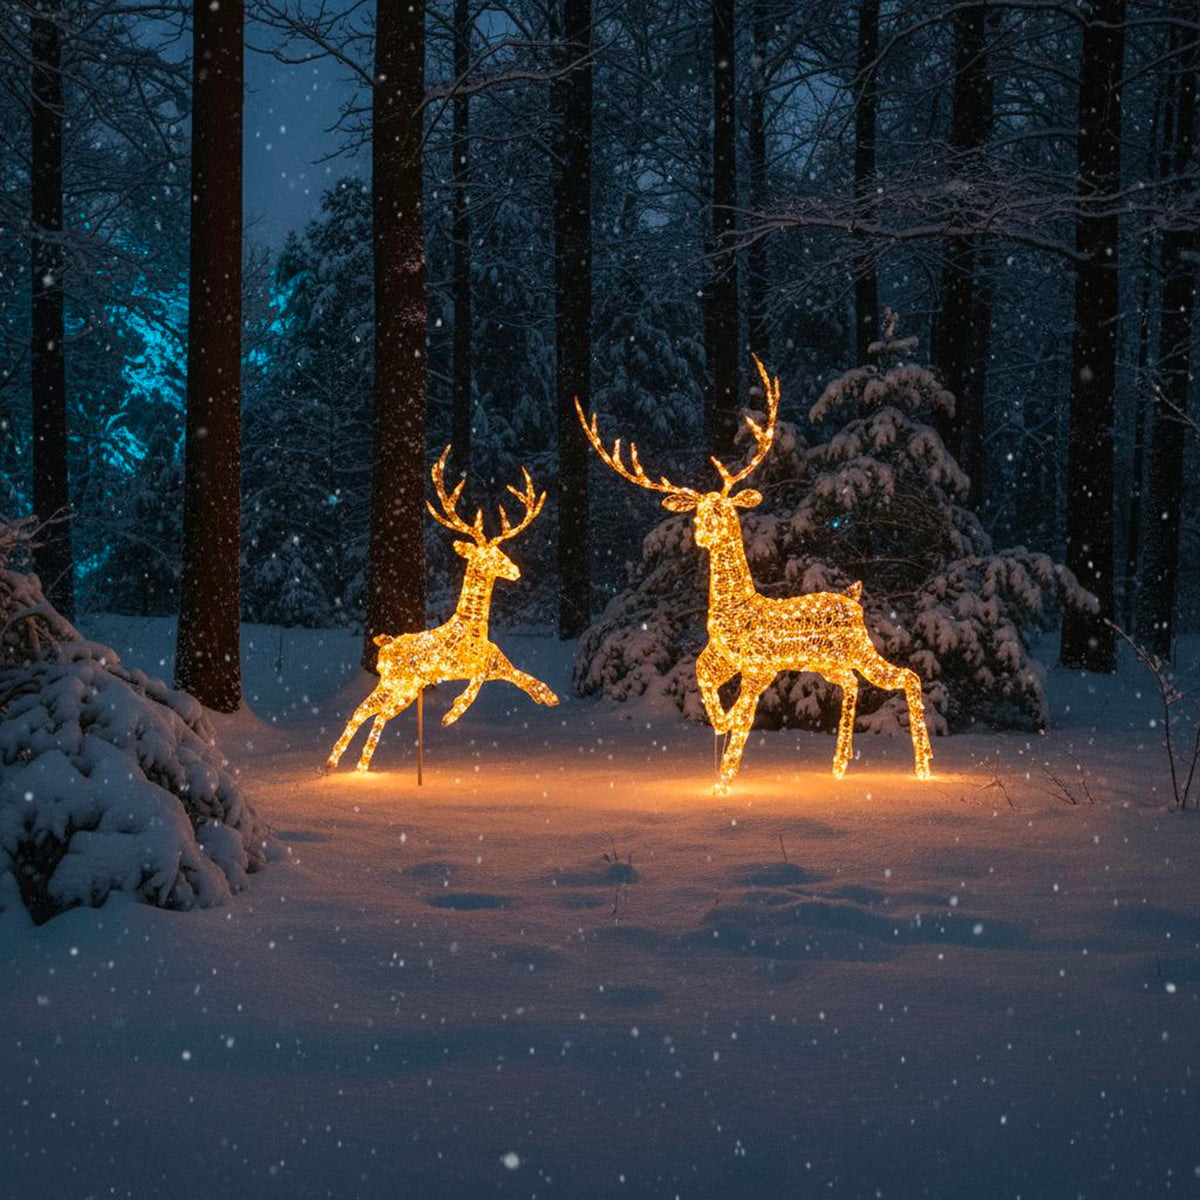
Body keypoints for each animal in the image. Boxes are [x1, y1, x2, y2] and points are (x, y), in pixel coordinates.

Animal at [326, 447, 559, 773]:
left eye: (501, 551)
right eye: (490, 555)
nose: (515, 570)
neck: (472, 627)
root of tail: (385, 645)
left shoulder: (499, 663)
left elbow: (522, 676)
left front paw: (548, 697)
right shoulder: (468, 666)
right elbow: (476, 684)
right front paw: (451, 714)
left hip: (397, 684)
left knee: (366, 711)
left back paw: (343, 763)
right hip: (404, 684)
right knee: (373, 713)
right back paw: (351, 763)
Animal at [576, 355, 933, 794]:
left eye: (724, 508)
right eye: (698, 510)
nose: (701, 531)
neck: (736, 606)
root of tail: (853, 596)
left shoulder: (759, 665)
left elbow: (747, 715)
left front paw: (724, 781)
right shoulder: (721, 655)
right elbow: (702, 679)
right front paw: (721, 724)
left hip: (858, 647)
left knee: (908, 676)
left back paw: (923, 769)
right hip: (825, 660)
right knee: (852, 684)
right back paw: (839, 766)